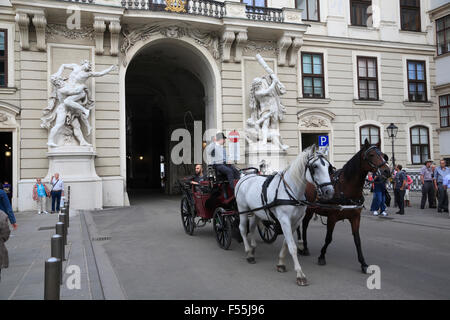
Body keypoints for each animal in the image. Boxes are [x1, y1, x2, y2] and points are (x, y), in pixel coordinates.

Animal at [236, 146, 334, 286]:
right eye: (315, 166)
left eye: (329, 167)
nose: (329, 191)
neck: (291, 192)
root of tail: (245, 177)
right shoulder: (284, 220)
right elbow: (292, 246)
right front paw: (300, 274)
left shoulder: (296, 221)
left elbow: (287, 244)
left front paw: (281, 263)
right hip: (243, 210)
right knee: (243, 229)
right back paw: (248, 252)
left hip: (256, 212)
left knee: (253, 227)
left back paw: (252, 249)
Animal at [298, 140, 388, 272]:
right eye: (371, 155)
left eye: (382, 155)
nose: (387, 171)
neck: (346, 188)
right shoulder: (332, 217)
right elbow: (328, 238)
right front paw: (321, 256)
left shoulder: (355, 218)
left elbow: (357, 240)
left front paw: (363, 263)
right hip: (309, 210)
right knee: (304, 225)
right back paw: (304, 247)